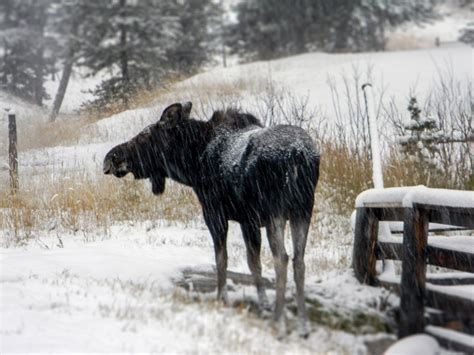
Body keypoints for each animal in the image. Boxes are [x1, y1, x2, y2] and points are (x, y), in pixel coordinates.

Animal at [103, 103, 318, 340]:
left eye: (144, 136)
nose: (111, 157)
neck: (192, 165)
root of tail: (298, 155)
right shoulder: (248, 220)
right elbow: (254, 264)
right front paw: (263, 303)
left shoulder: (215, 213)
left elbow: (221, 259)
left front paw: (221, 297)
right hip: (303, 210)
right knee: (299, 261)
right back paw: (303, 326)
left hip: (277, 212)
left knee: (282, 259)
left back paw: (279, 324)